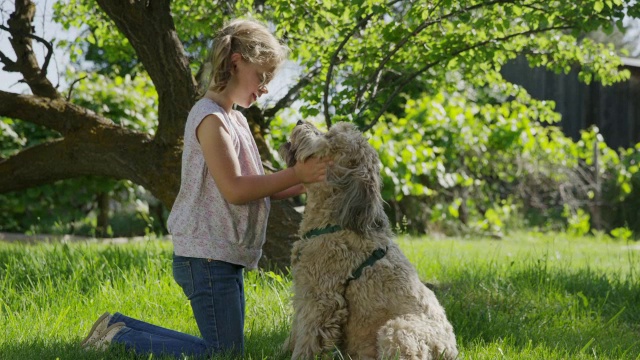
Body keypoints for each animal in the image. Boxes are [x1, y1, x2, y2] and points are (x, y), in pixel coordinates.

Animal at [280, 121, 460, 360]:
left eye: (329, 136)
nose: (300, 122)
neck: (333, 222)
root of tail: (450, 350)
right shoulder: (303, 291)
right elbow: (296, 329)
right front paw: (283, 350)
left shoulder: (321, 297)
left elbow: (308, 336)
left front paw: (298, 356)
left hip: (397, 331)